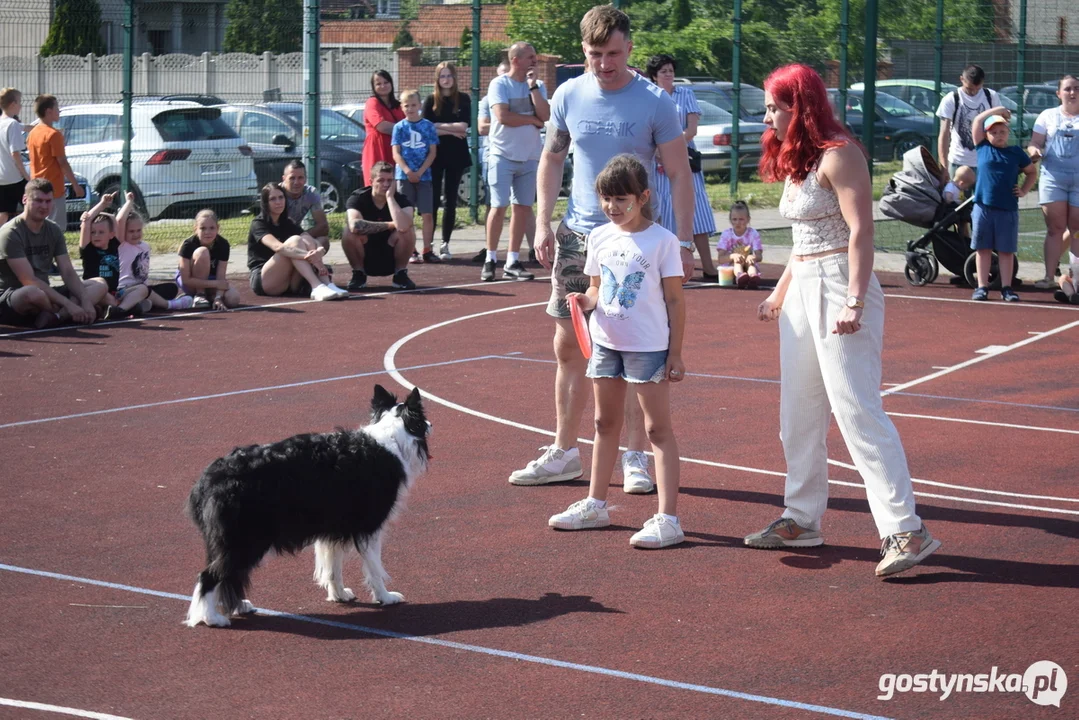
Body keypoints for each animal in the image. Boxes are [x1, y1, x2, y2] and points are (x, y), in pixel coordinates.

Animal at [185, 386, 429, 626]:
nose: (431, 424)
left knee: (228, 575)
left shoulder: (334, 529)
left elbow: (333, 568)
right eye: (423, 420)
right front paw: (385, 597)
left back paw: (240, 606)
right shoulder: (369, 526)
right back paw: (211, 618)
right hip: (244, 539)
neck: (391, 436)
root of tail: (207, 479)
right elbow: (374, 568)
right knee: (209, 576)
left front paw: (339, 595)